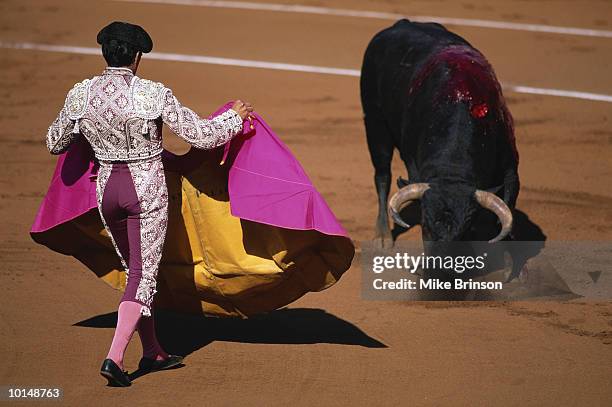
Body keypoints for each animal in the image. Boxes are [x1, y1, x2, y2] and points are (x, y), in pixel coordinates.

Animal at [360, 19, 520, 249]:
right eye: (425, 226)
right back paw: (382, 237)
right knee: (382, 176)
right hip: (375, 123)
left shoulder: (510, 169)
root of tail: (402, 23)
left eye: (467, 228)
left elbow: (506, 211)